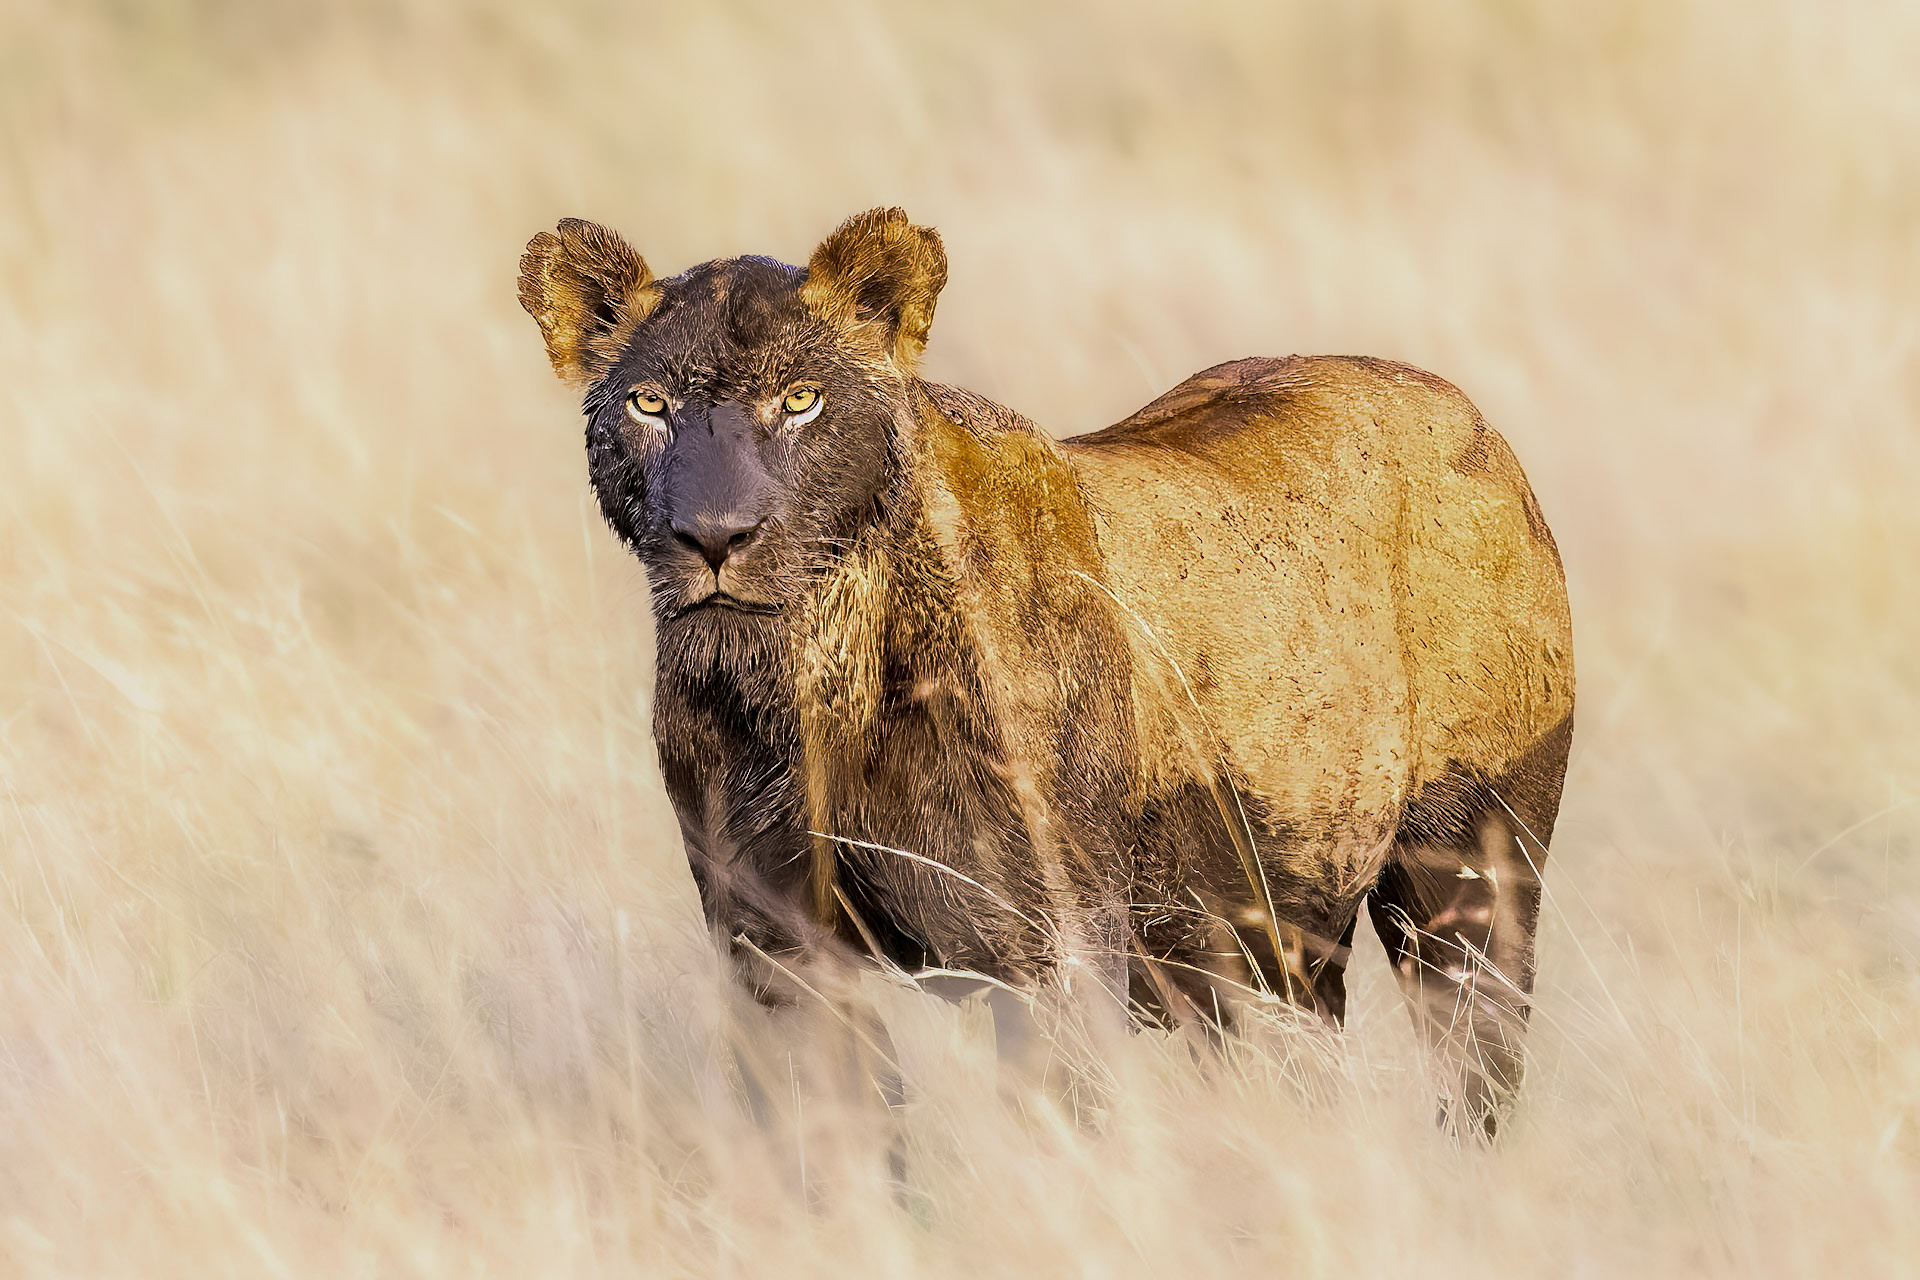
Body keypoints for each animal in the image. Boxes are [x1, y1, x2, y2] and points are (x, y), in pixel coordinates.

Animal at [517, 208, 1574, 1135]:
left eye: (800, 399)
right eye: (651, 404)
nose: (715, 538)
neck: (809, 681)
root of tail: (1467, 413)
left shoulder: (1051, 949)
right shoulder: (774, 951)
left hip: (1471, 876)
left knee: (1476, 1066)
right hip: (1271, 949)